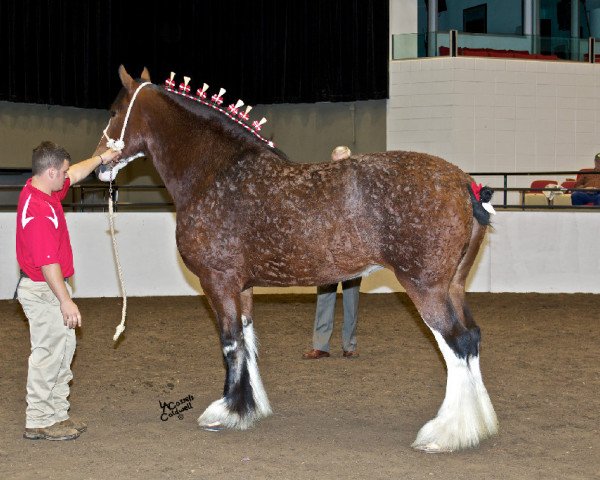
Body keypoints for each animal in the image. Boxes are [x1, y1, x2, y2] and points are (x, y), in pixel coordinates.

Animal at [92, 66, 496, 454]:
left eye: (113, 111)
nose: (99, 167)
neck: (216, 171)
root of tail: (465, 183)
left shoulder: (217, 281)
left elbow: (230, 343)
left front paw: (225, 412)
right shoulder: (242, 287)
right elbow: (247, 341)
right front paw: (249, 409)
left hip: (425, 287)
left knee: (457, 343)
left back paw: (445, 434)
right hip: (453, 286)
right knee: (473, 337)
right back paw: (480, 426)